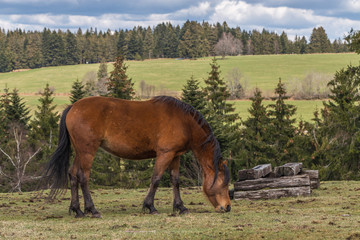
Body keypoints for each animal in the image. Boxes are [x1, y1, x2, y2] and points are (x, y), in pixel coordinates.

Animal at [43, 95, 231, 218]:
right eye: (223, 183)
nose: (227, 207)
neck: (184, 121)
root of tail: (73, 107)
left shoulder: (174, 156)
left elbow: (175, 180)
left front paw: (181, 207)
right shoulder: (165, 154)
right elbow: (156, 179)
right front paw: (150, 206)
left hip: (79, 152)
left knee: (73, 175)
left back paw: (77, 210)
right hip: (87, 151)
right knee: (83, 177)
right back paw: (92, 210)